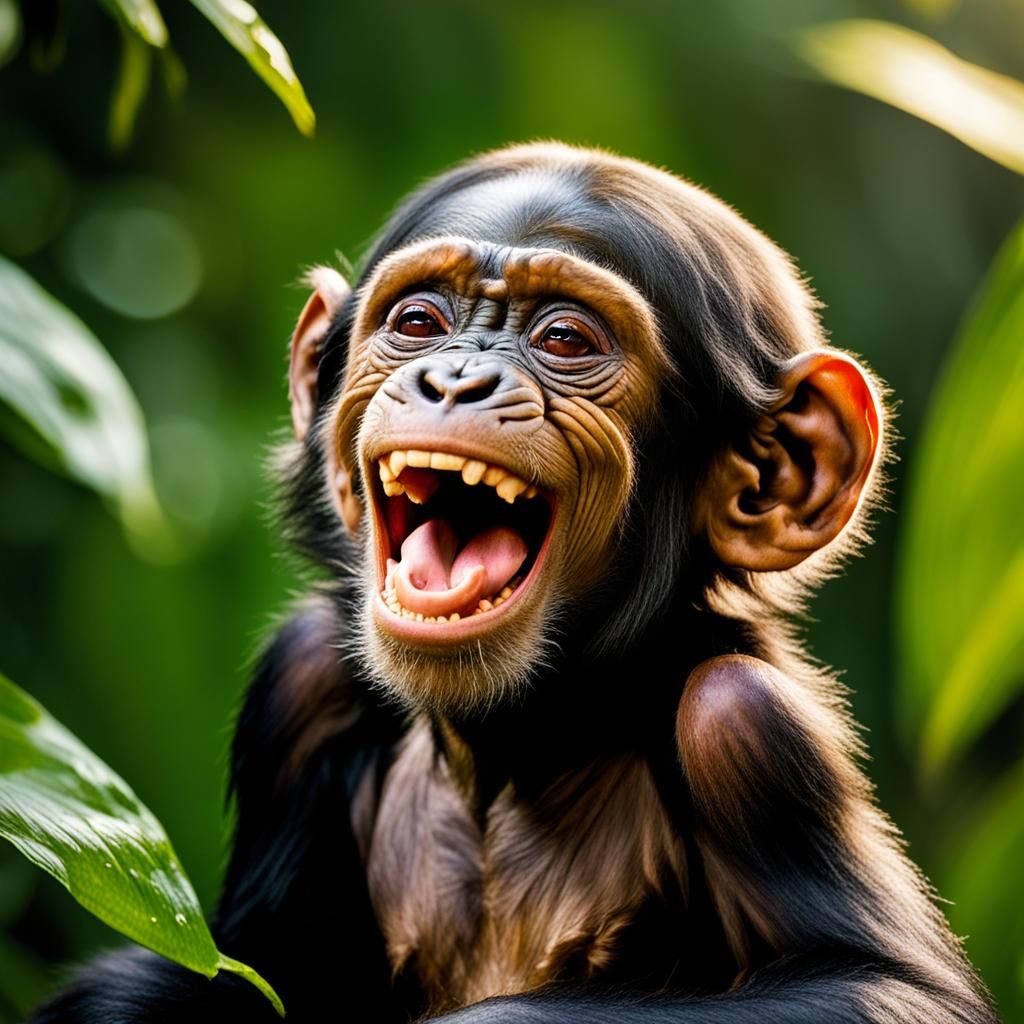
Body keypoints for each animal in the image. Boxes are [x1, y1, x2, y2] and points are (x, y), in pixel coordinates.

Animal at [32, 142, 999, 1024]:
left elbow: (880, 987)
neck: (519, 747)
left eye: (564, 339)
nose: (456, 380)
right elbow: (220, 967)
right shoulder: (297, 684)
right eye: (419, 321)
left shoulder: (747, 730)